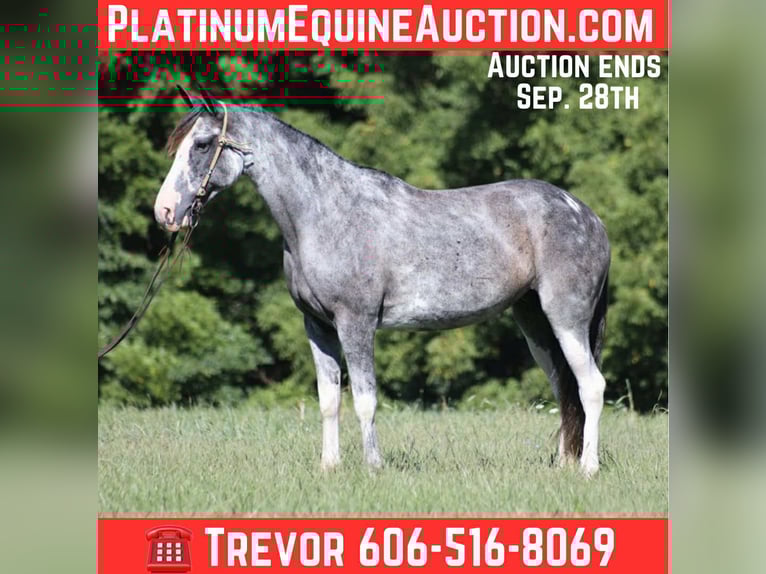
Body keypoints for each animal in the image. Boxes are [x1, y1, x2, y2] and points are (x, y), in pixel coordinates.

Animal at [154, 88, 611, 476]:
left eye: (202, 144)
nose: (165, 212)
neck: (326, 212)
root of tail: (589, 216)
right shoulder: (317, 326)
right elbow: (329, 400)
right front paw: (330, 467)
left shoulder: (355, 322)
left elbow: (365, 400)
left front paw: (373, 466)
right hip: (535, 323)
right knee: (564, 389)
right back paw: (564, 465)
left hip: (565, 319)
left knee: (590, 386)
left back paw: (587, 468)